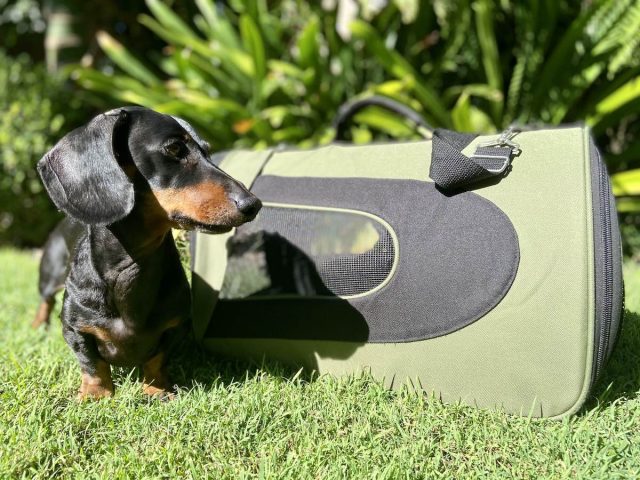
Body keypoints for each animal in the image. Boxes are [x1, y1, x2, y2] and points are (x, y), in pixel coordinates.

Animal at [33, 107, 260, 400]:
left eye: (208, 151)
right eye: (174, 148)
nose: (253, 204)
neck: (133, 263)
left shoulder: (175, 326)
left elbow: (156, 358)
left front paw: (156, 389)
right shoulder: (75, 328)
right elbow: (92, 363)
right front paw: (96, 394)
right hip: (49, 275)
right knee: (44, 301)